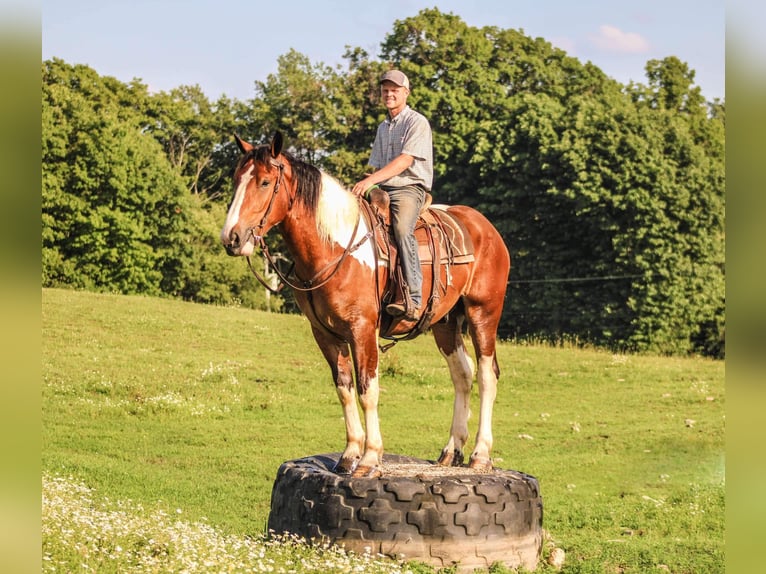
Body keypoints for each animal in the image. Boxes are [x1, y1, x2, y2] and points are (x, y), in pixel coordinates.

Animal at [220, 133, 510, 480]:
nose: (232, 238)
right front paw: (349, 455)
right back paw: (451, 451)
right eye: (236, 179)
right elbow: (344, 388)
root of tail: (486, 228)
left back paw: (481, 454)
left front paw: (370, 458)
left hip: (483, 313)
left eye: (264, 182)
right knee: (462, 375)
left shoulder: (362, 329)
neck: (335, 248)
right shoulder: (325, 334)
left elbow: (367, 390)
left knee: (487, 376)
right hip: (446, 323)